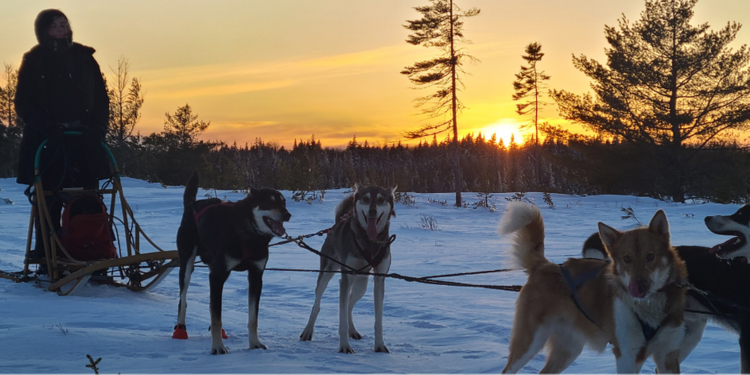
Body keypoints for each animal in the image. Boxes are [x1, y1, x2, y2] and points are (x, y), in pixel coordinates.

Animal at [173, 172, 290, 354]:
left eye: (283, 202)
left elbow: (253, 317)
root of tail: (192, 205)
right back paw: (180, 329)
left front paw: (254, 343)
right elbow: (216, 317)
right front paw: (217, 347)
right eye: (270, 202)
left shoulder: (256, 276)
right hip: (187, 267)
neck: (248, 234)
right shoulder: (217, 275)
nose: (287, 215)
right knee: (183, 299)